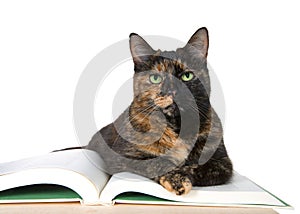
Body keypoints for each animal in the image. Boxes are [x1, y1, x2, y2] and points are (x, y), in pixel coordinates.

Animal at [85, 28, 233, 196]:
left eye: (187, 75)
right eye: (155, 78)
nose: (172, 91)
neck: (177, 127)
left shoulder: (222, 162)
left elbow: (198, 168)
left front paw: (183, 175)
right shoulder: (123, 158)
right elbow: (159, 163)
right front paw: (177, 180)